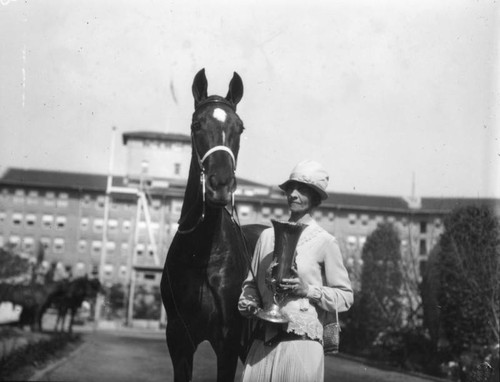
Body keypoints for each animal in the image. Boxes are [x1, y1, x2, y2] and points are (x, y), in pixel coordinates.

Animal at [162, 69, 268, 382]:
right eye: (197, 124)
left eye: (240, 127)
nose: (220, 185)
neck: (203, 254)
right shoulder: (179, 341)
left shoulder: (228, 343)